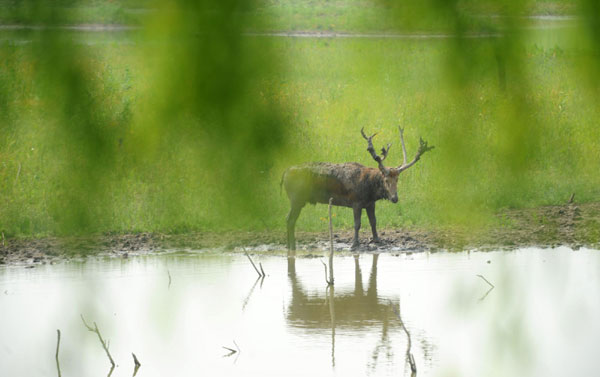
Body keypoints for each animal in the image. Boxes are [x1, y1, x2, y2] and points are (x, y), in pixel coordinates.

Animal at [282, 126, 432, 250]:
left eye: (397, 179)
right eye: (386, 179)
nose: (395, 198)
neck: (370, 190)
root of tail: (284, 175)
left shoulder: (370, 204)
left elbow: (373, 222)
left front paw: (377, 240)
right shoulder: (356, 202)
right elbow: (357, 224)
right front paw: (354, 244)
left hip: (297, 200)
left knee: (289, 219)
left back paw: (290, 245)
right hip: (296, 199)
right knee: (290, 219)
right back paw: (292, 246)